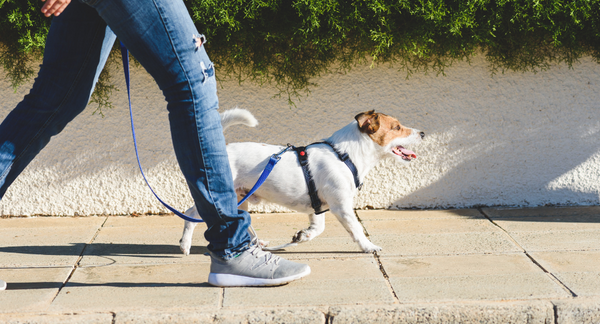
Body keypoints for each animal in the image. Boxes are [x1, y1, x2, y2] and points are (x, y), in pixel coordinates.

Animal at [178, 108, 422, 253]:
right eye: (397, 127)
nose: (422, 133)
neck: (345, 155)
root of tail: (223, 151)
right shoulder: (341, 206)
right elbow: (357, 229)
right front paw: (368, 246)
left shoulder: (318, 207)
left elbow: (318, 228)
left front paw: (303, 236)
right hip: (220, 197)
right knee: (190, 214)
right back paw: (185, 245)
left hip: (241, 198)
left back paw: (258, 244)